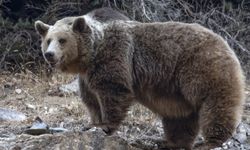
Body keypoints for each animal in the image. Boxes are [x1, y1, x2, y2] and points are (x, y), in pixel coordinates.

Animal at [34, 7, 245, 149]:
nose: (49, 54)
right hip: (177, 91)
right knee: (180, 118)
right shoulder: (87, 77)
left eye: (62, 40)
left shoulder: (114, 58)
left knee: (215, 102)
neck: (91, 55)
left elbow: (113, 91)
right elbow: (91, 99)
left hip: (201, 67)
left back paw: (210, 141)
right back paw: (169, 142)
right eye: (48, 40)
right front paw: (92, 124)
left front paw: (106, 126)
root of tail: (224, 41)